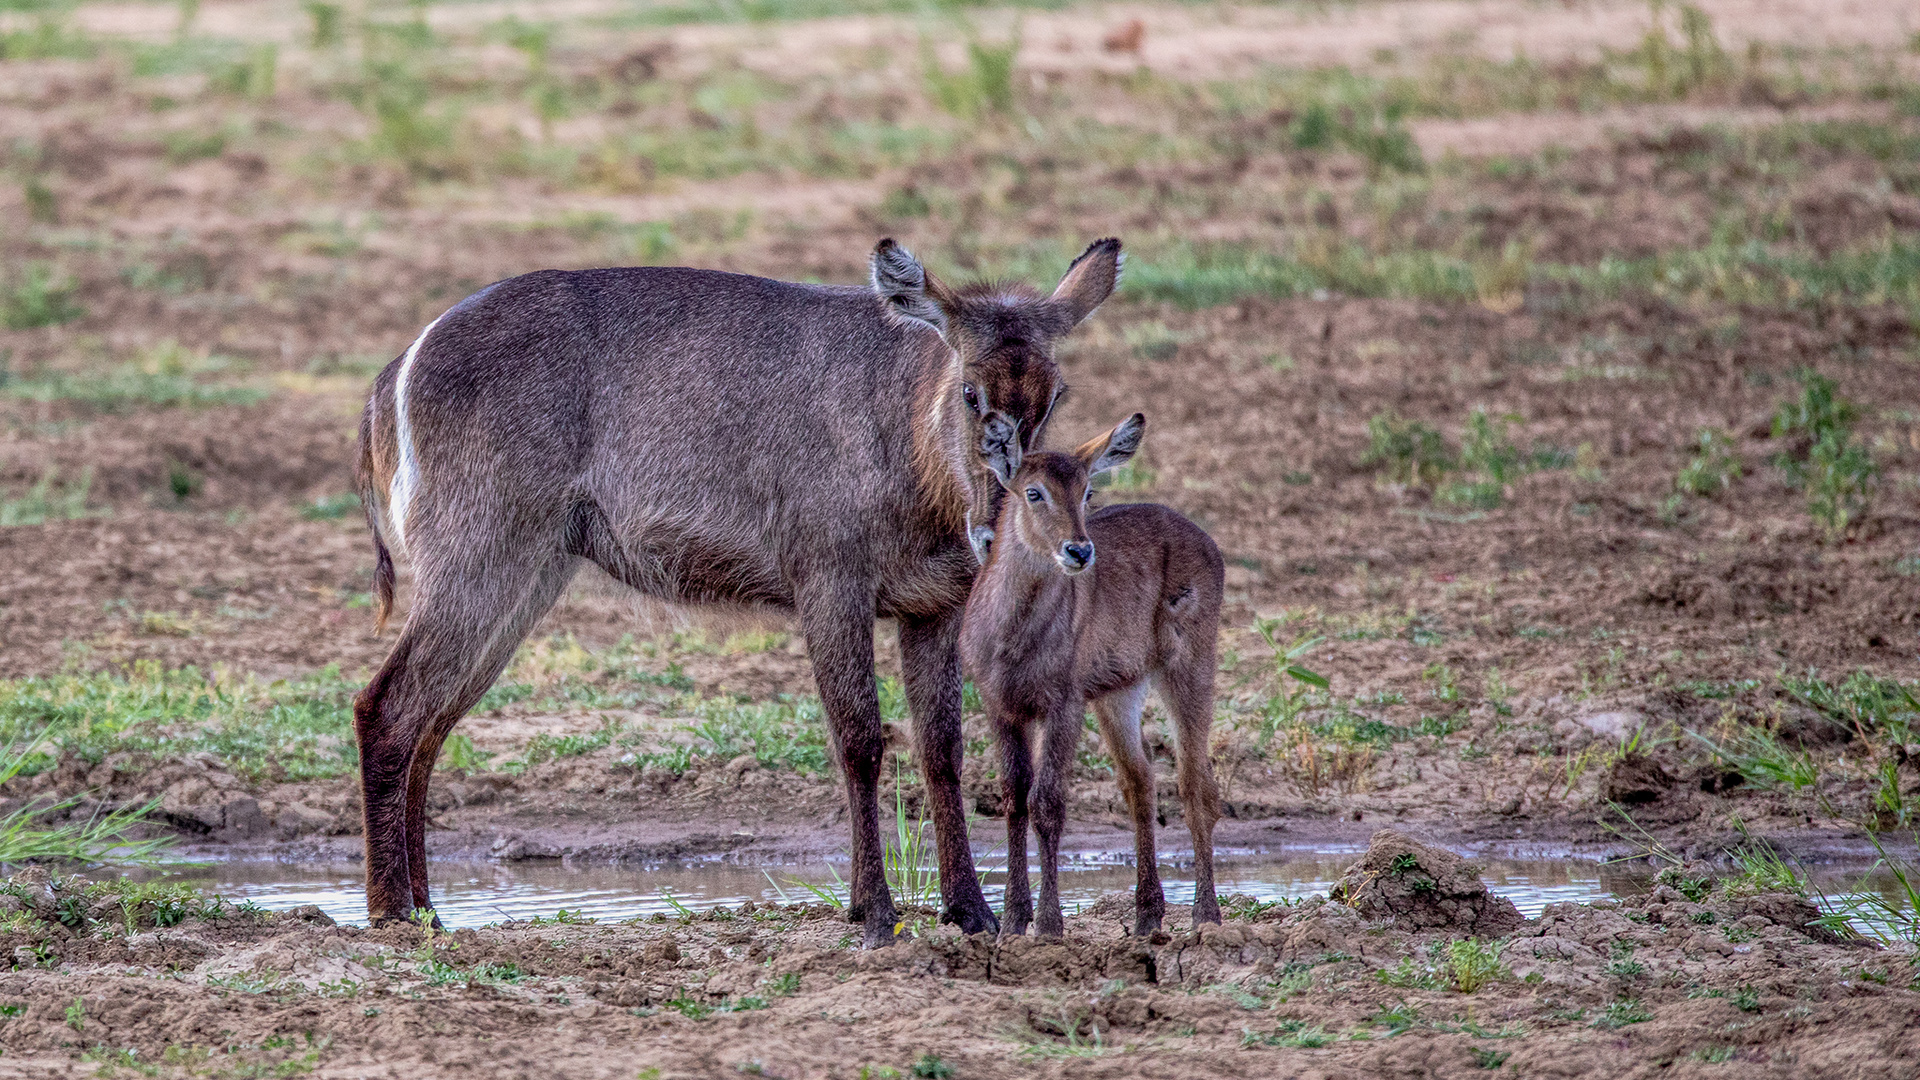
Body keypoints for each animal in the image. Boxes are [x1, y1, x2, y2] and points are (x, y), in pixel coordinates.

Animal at [357, 237, 1121, 941]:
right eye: (970, 391)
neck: (908, 437)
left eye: (1054, 397)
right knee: (385, 708)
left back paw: (426, 911)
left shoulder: (932, 605)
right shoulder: (829, 584)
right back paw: (392, 912)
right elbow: (860, 741)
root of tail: (399, 365)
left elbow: (942, 750)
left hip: (528, 571)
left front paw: (971, 913)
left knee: (431, 723)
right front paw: (874, 912)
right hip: (481, 557)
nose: (999, 532)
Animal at [967, 411, 1221, 933]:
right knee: (1140, 782)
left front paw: (1048, 923)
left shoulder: (1062, 702)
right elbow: (1012, 799)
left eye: (1086, 492)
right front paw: (1012, 920)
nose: (1079, 551)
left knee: (1196, 785)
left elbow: (1046, 803)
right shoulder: (1000, 704)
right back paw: (1147, 917)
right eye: (1033, 492)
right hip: (1118, 690)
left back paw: (1206, 916)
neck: (1011, 636)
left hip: (1188, 665)